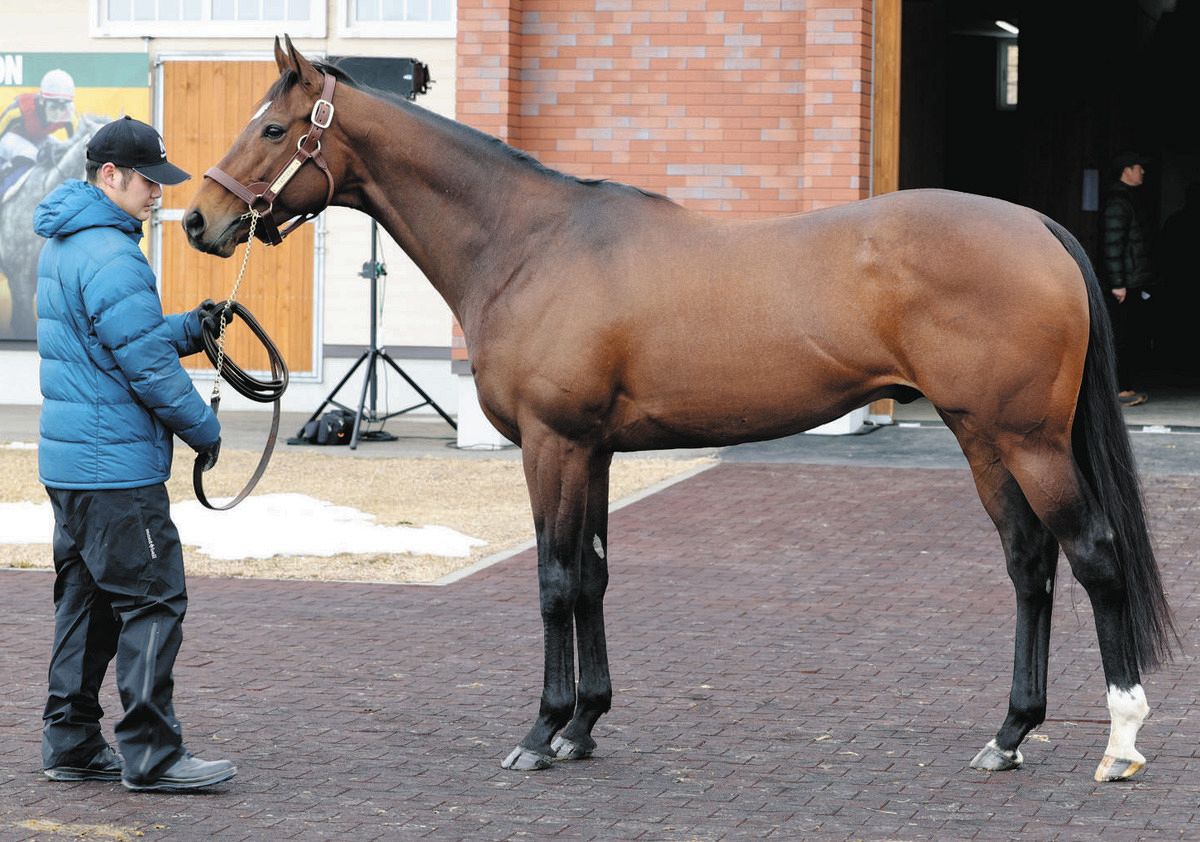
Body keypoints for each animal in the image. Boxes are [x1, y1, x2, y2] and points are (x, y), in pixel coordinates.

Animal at [183, 37, 1176, 783]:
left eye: (272, 127)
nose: (199, 223)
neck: (529, 242)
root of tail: (1037, 226)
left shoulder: (551, 445)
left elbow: (552, 582)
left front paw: (540, 734)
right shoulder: (592, 451)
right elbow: (590, 577)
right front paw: (585, 726)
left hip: (1025, 439)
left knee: (1093, 556)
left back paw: (1122, 741)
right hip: (981, 437)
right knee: (1029, 564)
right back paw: (1009, 735)